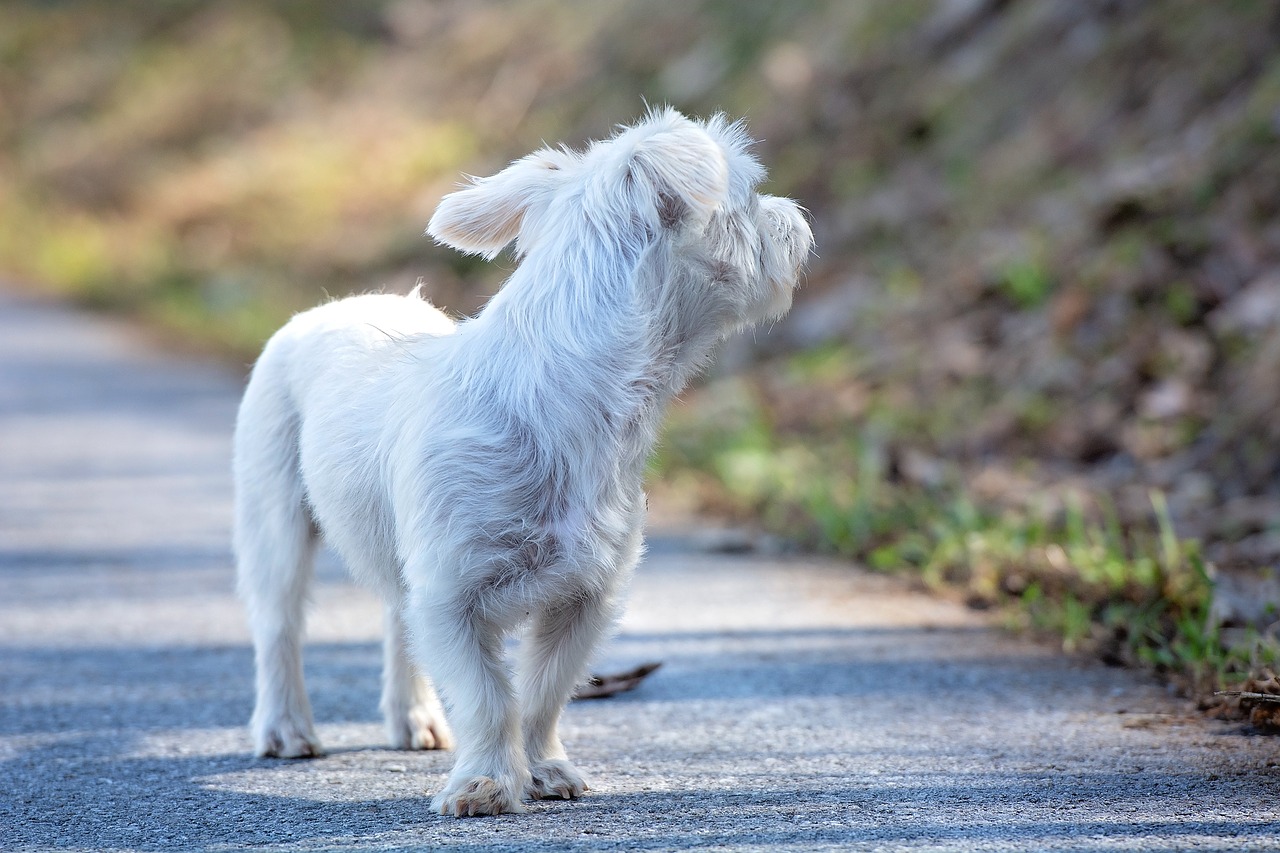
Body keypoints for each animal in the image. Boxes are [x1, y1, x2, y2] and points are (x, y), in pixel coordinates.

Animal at [232, 109, 808, 814]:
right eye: (751, 199)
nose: (797, 219)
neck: (565, 397)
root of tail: (339, 305)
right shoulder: (452, 597)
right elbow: (488, 697)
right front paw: (484, 782)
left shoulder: (586, 598)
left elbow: (541, 695)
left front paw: (542, 768)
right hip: (276, 525)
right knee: (278, 627)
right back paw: (285, 727)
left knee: (397, 622)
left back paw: (413, 719)